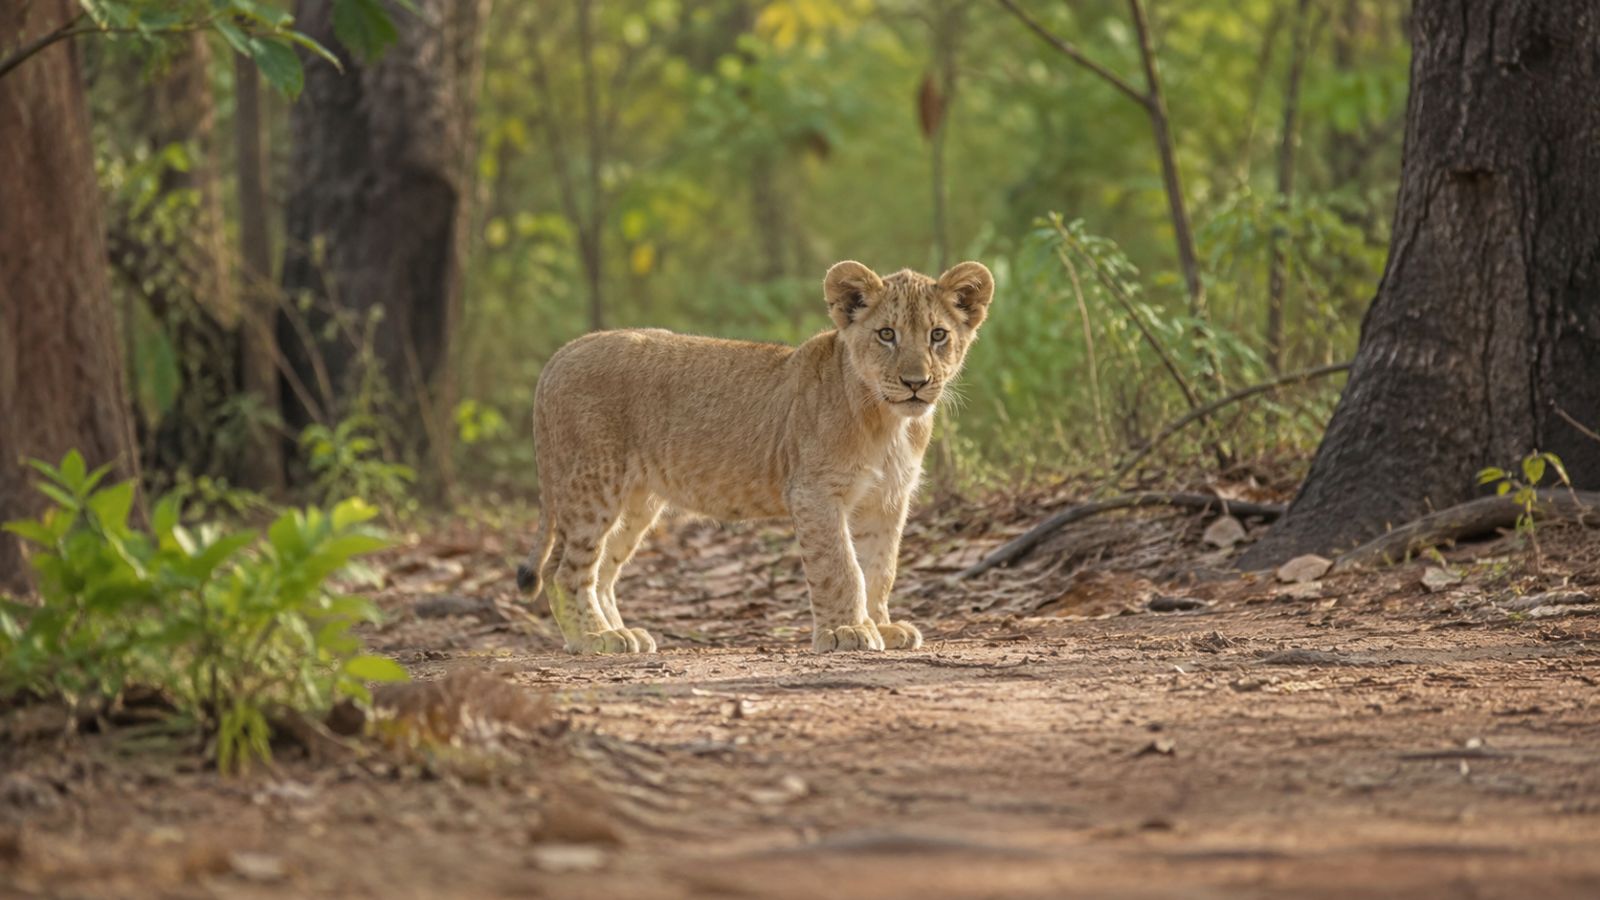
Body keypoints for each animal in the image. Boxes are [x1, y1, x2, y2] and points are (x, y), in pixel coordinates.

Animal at [516, 259, 995, 654]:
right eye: (886, 335)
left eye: (938, 335)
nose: (916, 382)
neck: (889, 422)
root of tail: (560, 355)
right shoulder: (815, 492)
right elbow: (841, 566)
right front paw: (846, 632)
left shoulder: (887, 499)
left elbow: (880, 568)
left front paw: (882, 626)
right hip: (595, 484)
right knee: (564, 570)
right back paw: (594, 638)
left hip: (635, 501)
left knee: (601, 570)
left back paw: (619, 632)